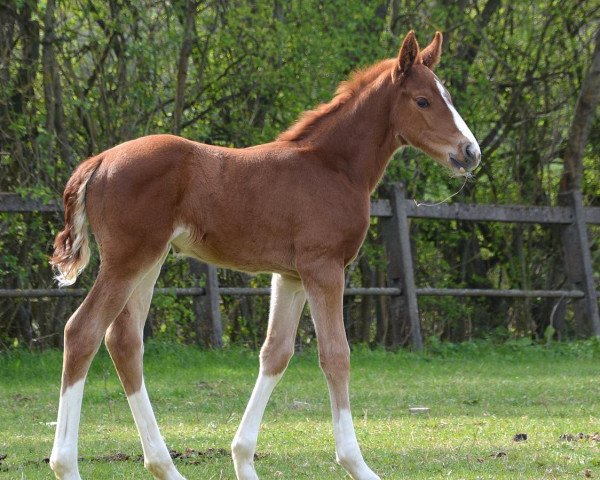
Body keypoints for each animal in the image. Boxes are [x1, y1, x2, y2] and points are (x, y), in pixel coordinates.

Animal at [48, 31, 478, 480]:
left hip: (150, 262)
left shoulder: (290, 275)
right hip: (127, 261)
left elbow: (276, 353)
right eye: (423, 101)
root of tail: (98, 161)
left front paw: (243, 458)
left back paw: (164, 465)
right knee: (82, 332)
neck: (334, 166)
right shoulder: (324, 268)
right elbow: (335, 355)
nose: (471, 152)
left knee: (124, 341)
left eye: (446, 96)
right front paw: (356, 463)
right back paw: (67, 464)